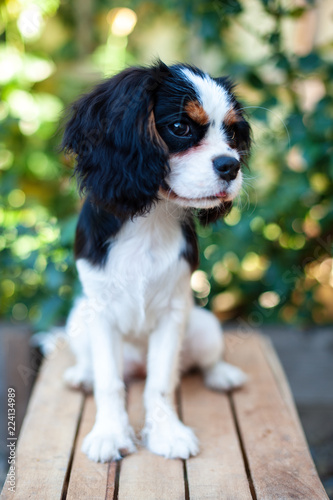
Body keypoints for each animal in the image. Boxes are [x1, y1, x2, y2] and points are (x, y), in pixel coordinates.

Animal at [61, 60, 249, 462]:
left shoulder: (173, 313)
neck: (150, 218)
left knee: (204, 361)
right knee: (94, 365)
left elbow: (160, 383)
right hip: (77, 320)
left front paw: (166, 433)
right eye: (180, 128)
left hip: (205, 326)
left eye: (231, 133)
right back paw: (81, 375)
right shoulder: (100, 313)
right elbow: (109, 382)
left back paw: (222, 374)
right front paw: (110, 433)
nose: (232, 165)